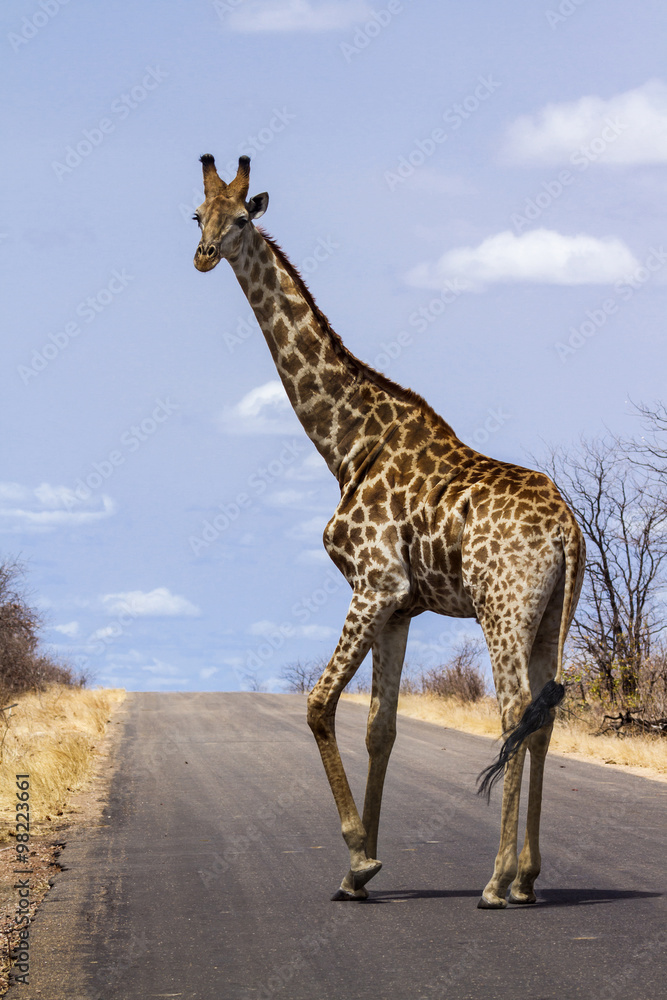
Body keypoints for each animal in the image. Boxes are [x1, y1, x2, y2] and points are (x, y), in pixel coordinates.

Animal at [192, 153, 585, 908]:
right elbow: (381, 727)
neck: (346, 443)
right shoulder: (401, 605)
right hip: (554, 611)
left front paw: (357, 857)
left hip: (502, 606)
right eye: (197, 214)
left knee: (513, 710)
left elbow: (319, 705)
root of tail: (569, 533)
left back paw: (495, 882)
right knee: (543, 718)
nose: (201, 255)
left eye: (243, 218)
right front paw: (359, 871)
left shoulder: (374, 584)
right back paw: (527, 877)